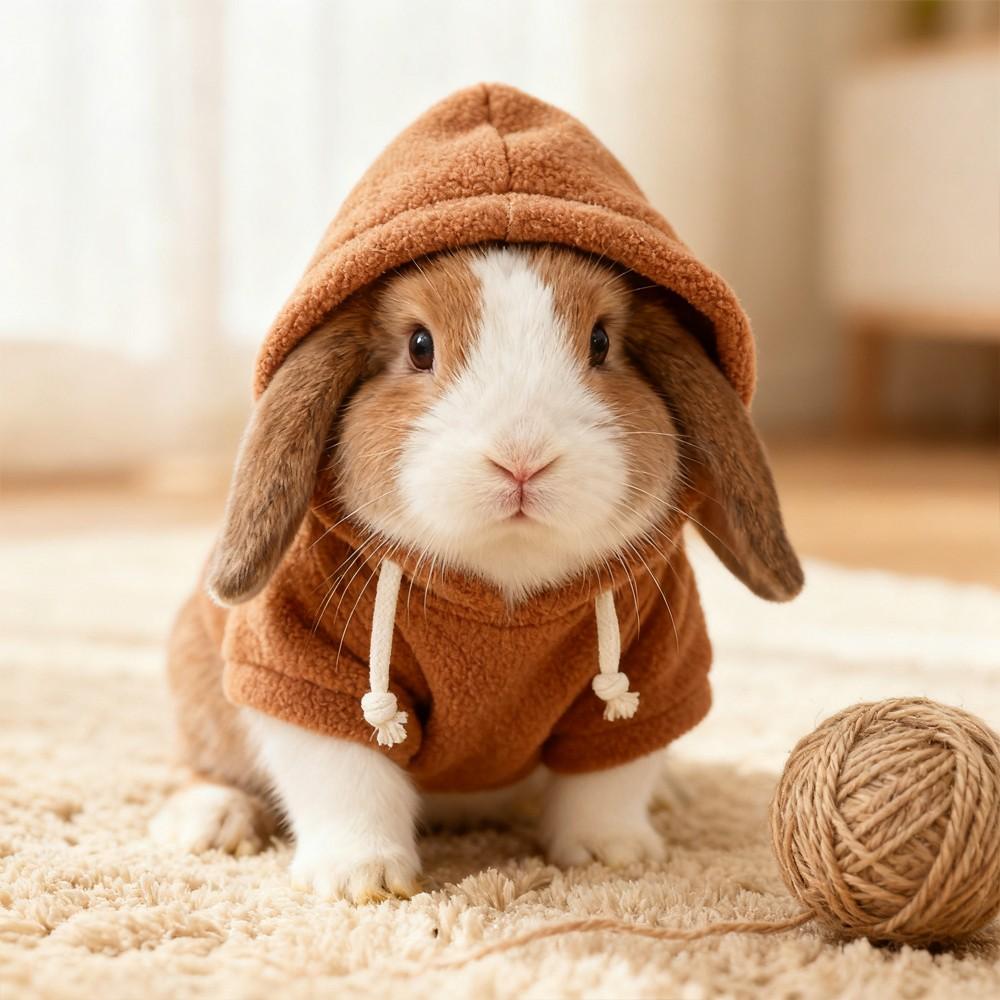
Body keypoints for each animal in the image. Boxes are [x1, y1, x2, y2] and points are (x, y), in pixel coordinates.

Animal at [150, 243, 802, 902]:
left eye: (600, 342)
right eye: (420, 346)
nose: (522, 458)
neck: (502, 591)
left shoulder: (656, 671)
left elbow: (610, 778)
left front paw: (613, 857)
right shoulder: (308, 669)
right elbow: (346, 777)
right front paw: (363, 879)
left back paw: (669, 795)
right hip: (199, 684)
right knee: (200, 765)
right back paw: (212, 822)